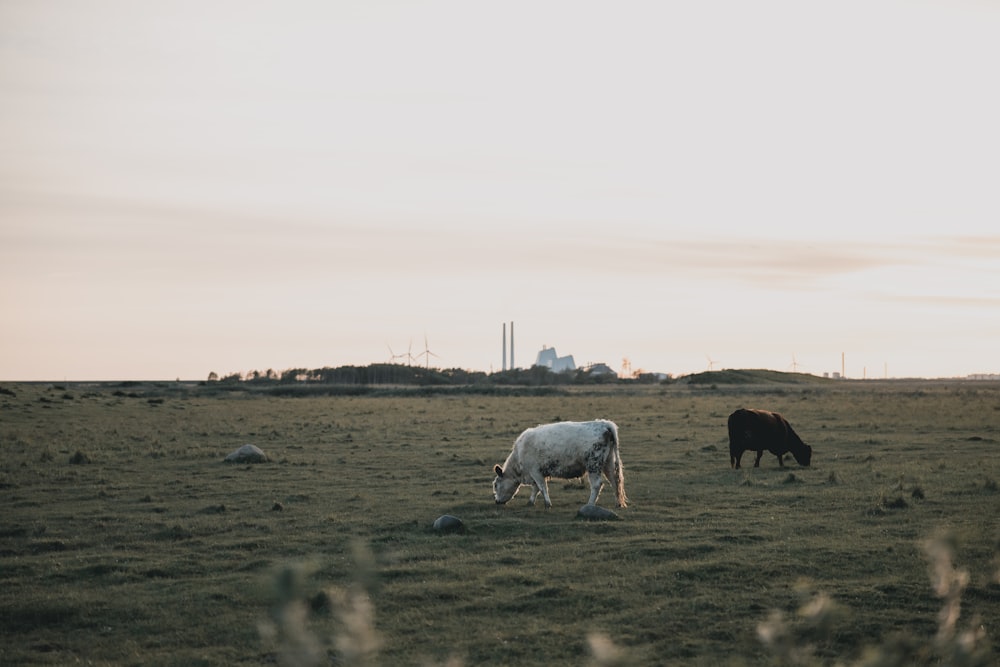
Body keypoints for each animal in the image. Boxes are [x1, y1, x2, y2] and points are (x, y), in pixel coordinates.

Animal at [492, 420, 624, 508]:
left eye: (496, 485)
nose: (497, 501)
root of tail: (604, 424)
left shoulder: (535, 471)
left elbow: (542, 487)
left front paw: (547, 503)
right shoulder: (536, 473)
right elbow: (536, 488)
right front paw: (530, 502)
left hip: (593, 465)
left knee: (597, 485)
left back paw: (590, 504)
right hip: (608, 463)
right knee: (614, 480)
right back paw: (618, 503)